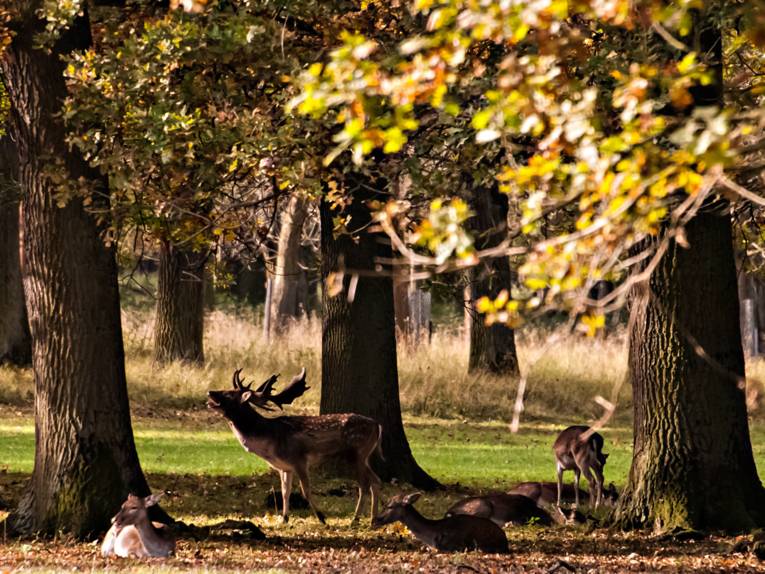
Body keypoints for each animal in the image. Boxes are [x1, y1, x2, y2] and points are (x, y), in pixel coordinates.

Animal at [207, 368, 382, 524]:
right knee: (376, 480)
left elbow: (306, 491)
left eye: (229, 394)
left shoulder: (299, 459)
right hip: (364, 456)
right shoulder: (284, 467)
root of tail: (377, 425)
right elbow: (286, 492)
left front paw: (322, 518)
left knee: (364, 484)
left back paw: (356, 519)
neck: (269, 440)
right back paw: (372, 519)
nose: (210, 392)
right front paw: (284, 519)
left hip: (356, 452)